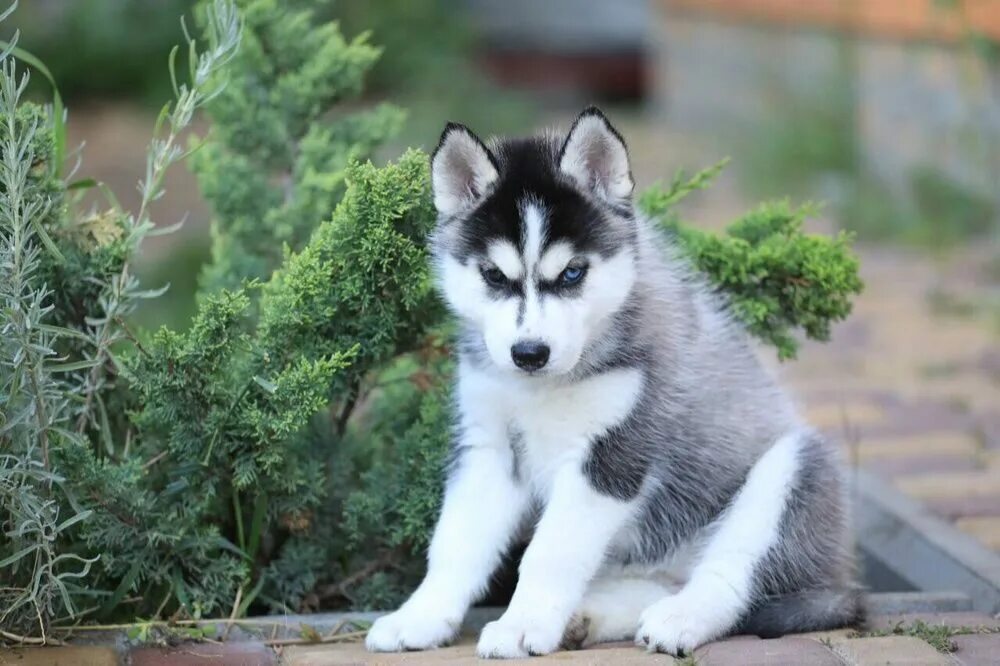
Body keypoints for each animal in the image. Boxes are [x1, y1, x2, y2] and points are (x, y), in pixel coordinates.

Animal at [366, 106, 860, 656]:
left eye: (572, 273)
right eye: (494, 276)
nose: (529, 353)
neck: (542, 388)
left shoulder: (610, 458)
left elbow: (550, 552)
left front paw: (521, 625)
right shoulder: (488, 448)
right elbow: (456, 543)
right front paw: (421, 615)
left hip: (790, 471)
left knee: (733, 578)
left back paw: (681, 617)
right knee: (659, 582)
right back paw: (590, 616)